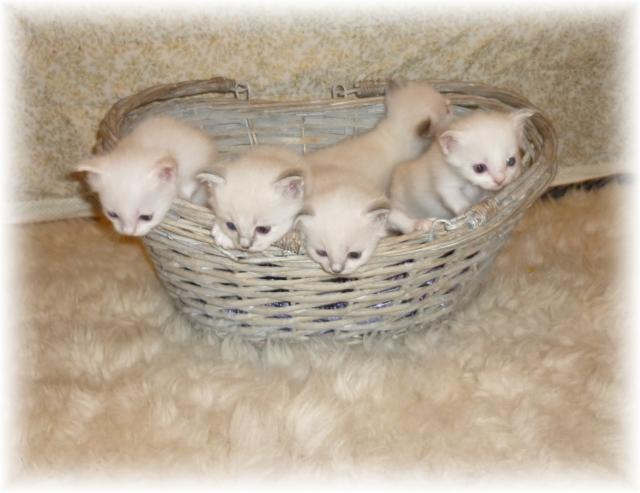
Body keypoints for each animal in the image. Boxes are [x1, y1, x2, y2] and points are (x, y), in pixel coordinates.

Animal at [75, 115, 218, 236]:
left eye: (147, 217)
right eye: (112, 214)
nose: (128, 233)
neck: (145, 147)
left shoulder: (192, 165)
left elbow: (188, 186)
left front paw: (185, 197)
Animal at [389, 109, 535, 231]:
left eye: (511, 161)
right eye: (479, 168)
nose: (500, 180)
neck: (472, 185)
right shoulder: (444, 181)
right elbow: (454, 197)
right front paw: (469, 208)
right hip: (400, 203)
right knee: (394, 217)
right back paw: (420, 224)